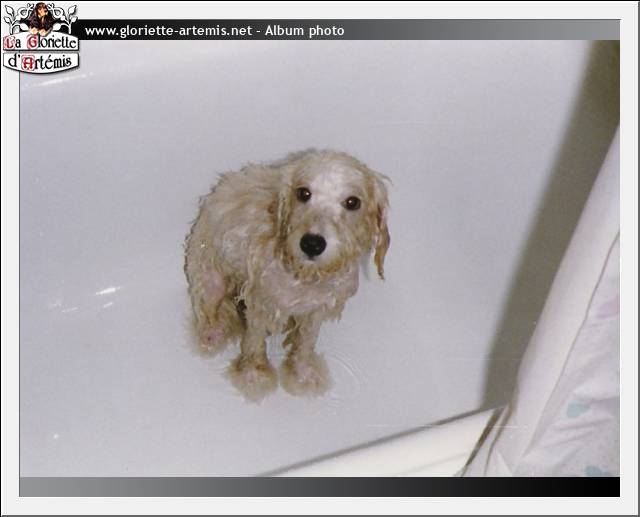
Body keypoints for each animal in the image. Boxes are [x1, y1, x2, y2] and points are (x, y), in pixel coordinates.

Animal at [184, 150, 390, 402]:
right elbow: (255, 344)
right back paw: (211, 335)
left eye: (353, 202)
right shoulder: (261, 303)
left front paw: (303, 375)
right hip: (212, 277)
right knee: (210, 311)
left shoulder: (316, 309)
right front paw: (253, 377)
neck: (303, 276)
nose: (312, 243)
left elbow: (306, 343)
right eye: (303, 193)